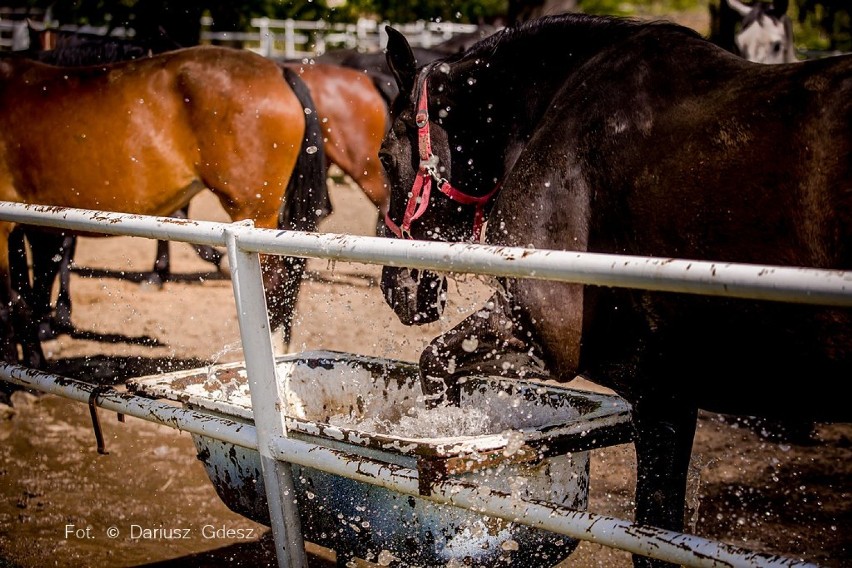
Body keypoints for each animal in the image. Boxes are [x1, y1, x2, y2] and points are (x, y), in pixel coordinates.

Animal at [0, 47, 330, 368]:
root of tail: (278, 69)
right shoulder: (30, 228)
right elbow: (24, 297)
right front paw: (33, 357)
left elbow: (10, 302)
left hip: (255, 214)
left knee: (276, 285)